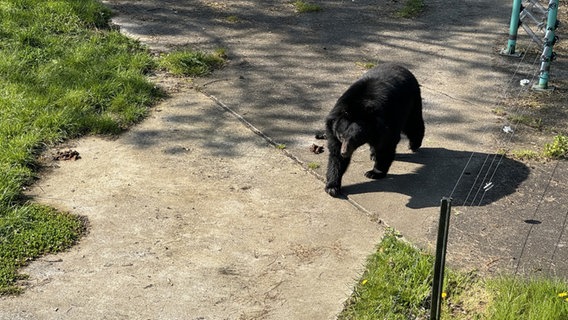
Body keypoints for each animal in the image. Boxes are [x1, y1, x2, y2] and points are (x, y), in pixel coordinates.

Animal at [326, 62, 424, 196]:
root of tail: (400, 66)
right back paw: (373, 154)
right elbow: (335, 155)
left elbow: (386, 144)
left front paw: (373, 173)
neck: (357, 109)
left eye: (355, 139)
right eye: (341, 136)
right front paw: (332, 187)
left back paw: (414, 145)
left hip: (411, 101)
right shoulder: (333, 127)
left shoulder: (384, 123)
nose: (344, 152)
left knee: (413, 123)